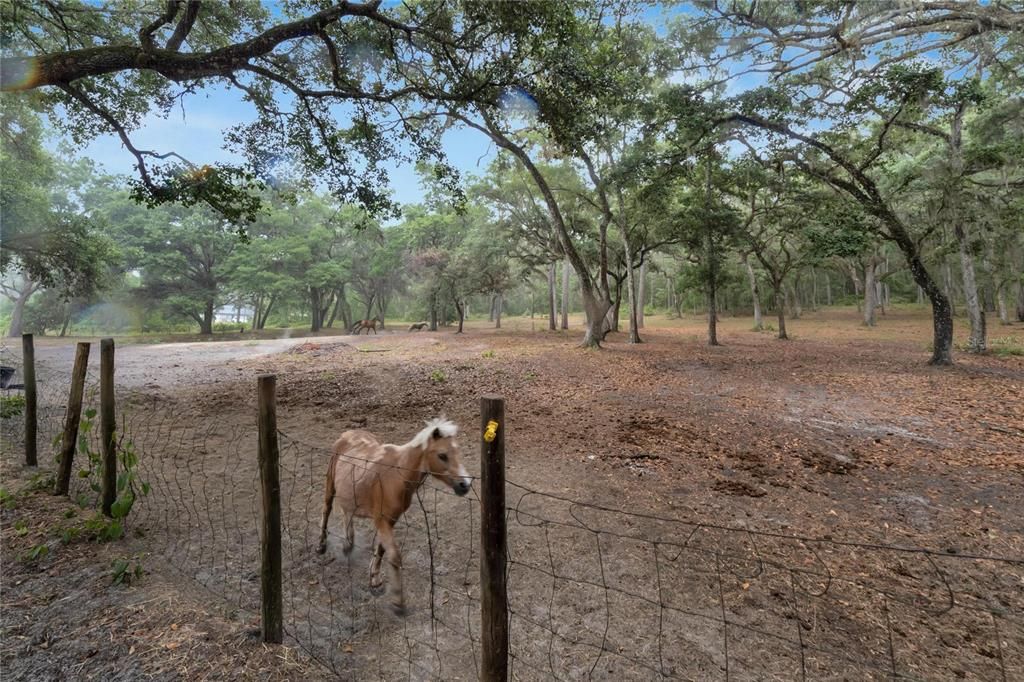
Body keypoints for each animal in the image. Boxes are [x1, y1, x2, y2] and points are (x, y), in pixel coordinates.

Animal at [315, 413, 471, 610]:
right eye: (442, 455)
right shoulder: (381, 520)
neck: (397, 475)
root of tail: (347, 434)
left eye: (457, 452)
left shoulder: (390, 520)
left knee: (346, 512)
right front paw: (398, 601)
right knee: (326, 509)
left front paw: (374, 578)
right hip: (330, 485)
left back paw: (348, 544)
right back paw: (321, 546)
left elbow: (382, 549)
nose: (465, 484)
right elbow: (395, 556)